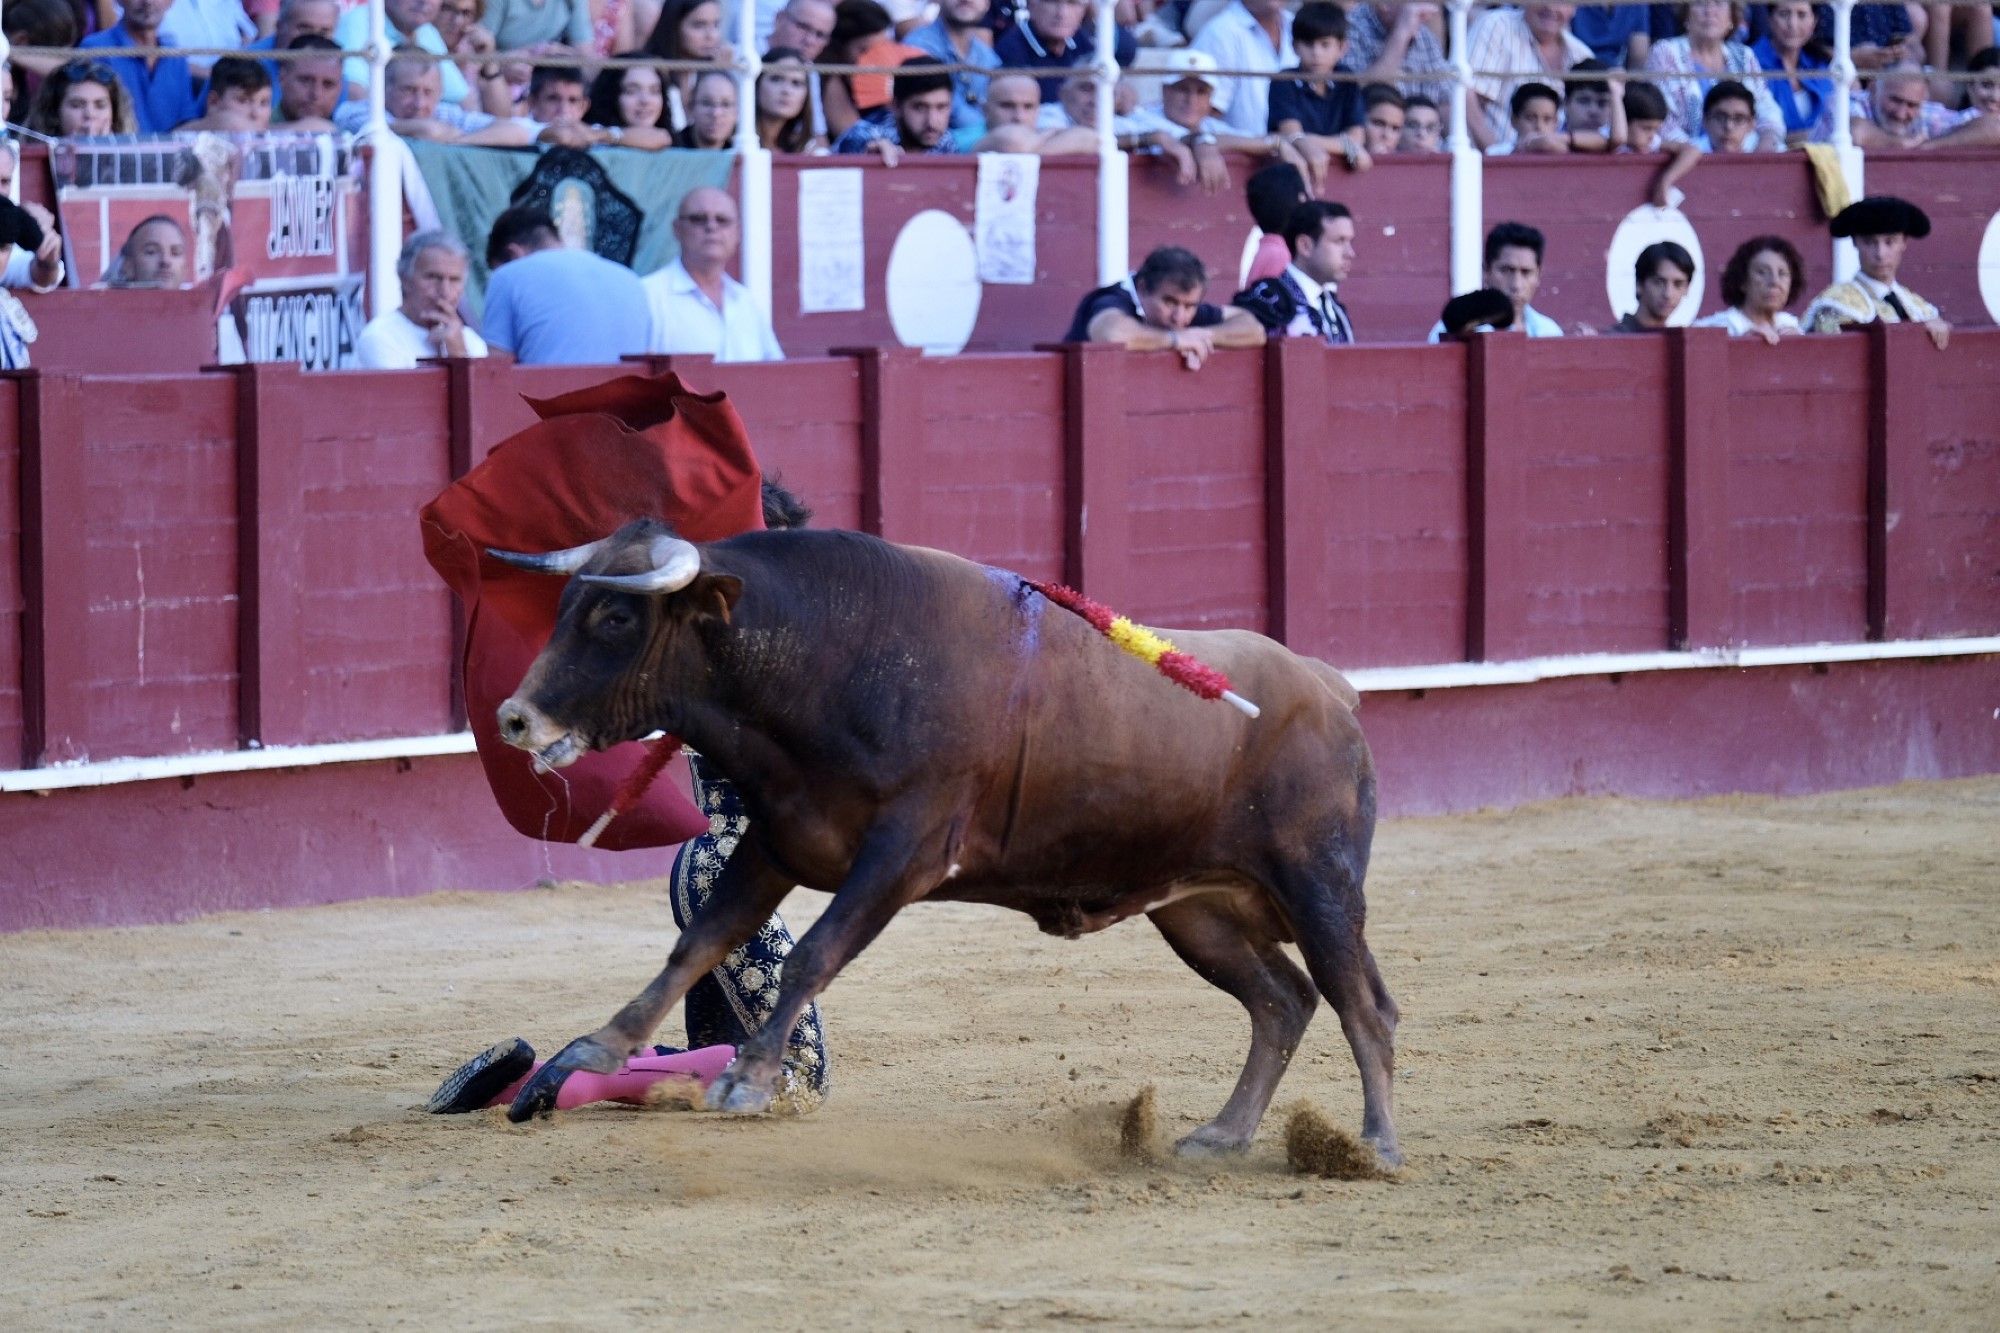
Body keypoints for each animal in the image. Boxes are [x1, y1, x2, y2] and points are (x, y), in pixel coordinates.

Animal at [496, 512, 1408, 1160]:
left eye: (617, 615)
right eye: (568, 606)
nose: (513, 716)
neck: (834, 655)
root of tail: (1328, 687)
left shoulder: (904, 853)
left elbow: (810, 953)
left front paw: (748, 1078)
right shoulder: (778, 840)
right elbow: (701, 941)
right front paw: (597, 1046)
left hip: (1319, 885)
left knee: (1362, 1004)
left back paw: (1373, 1145)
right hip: (1198, 909)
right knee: (1282, 1000)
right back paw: (1222, 1134)